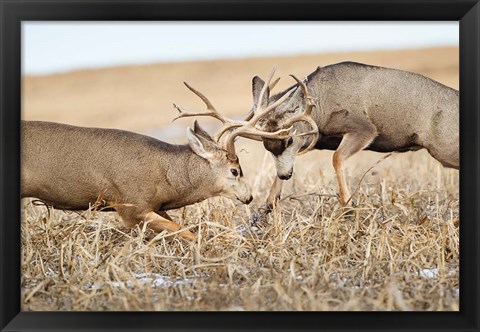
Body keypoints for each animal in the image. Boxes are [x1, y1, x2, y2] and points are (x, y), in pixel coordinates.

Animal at [21, 83, 255, 239]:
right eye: (235, 170)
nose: (250, 197)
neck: (165, 175)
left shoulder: (155, 205)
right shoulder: (130, 205)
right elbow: (182, 230)